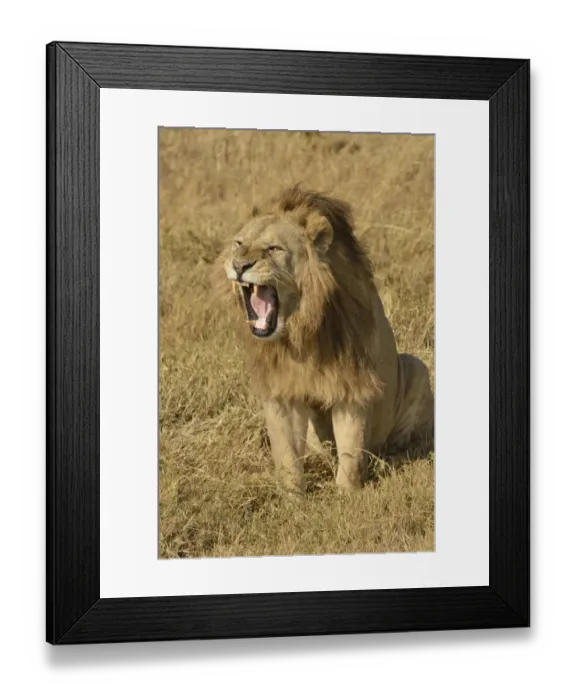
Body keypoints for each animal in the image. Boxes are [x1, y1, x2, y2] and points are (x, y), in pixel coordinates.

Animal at [220, 185, 434, 494]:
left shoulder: (352, 384)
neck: (300, 331)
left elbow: (351, 448)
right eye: (238, 243)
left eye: (274, 249)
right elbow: (286, 453)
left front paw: (347, 495)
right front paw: (292, 497)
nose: (238, 265)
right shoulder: (282, 388)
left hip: (416, 366)